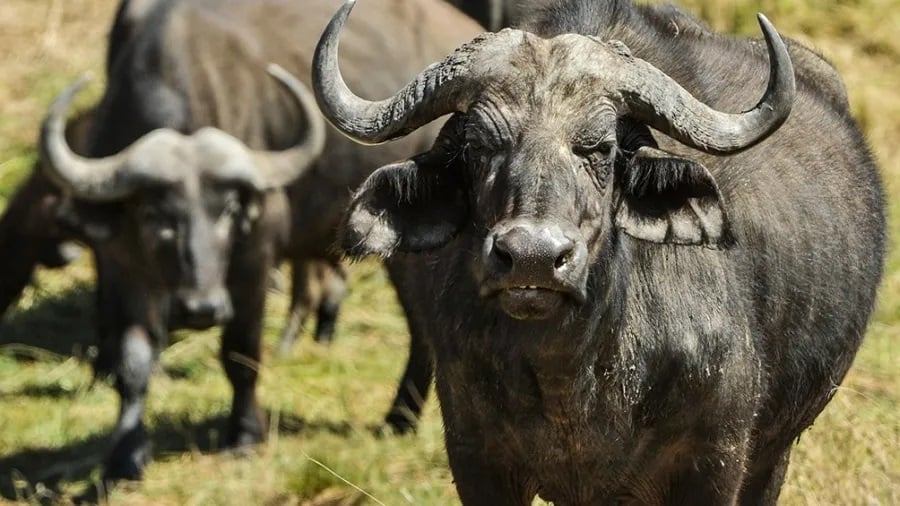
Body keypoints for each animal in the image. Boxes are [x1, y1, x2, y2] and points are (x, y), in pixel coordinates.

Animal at [313, 0, 885, 504]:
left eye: (600, 147)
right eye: (479, 145)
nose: (533, 258)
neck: (571, 376)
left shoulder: (716, 461)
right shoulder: (475, 457)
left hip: (775, 452)